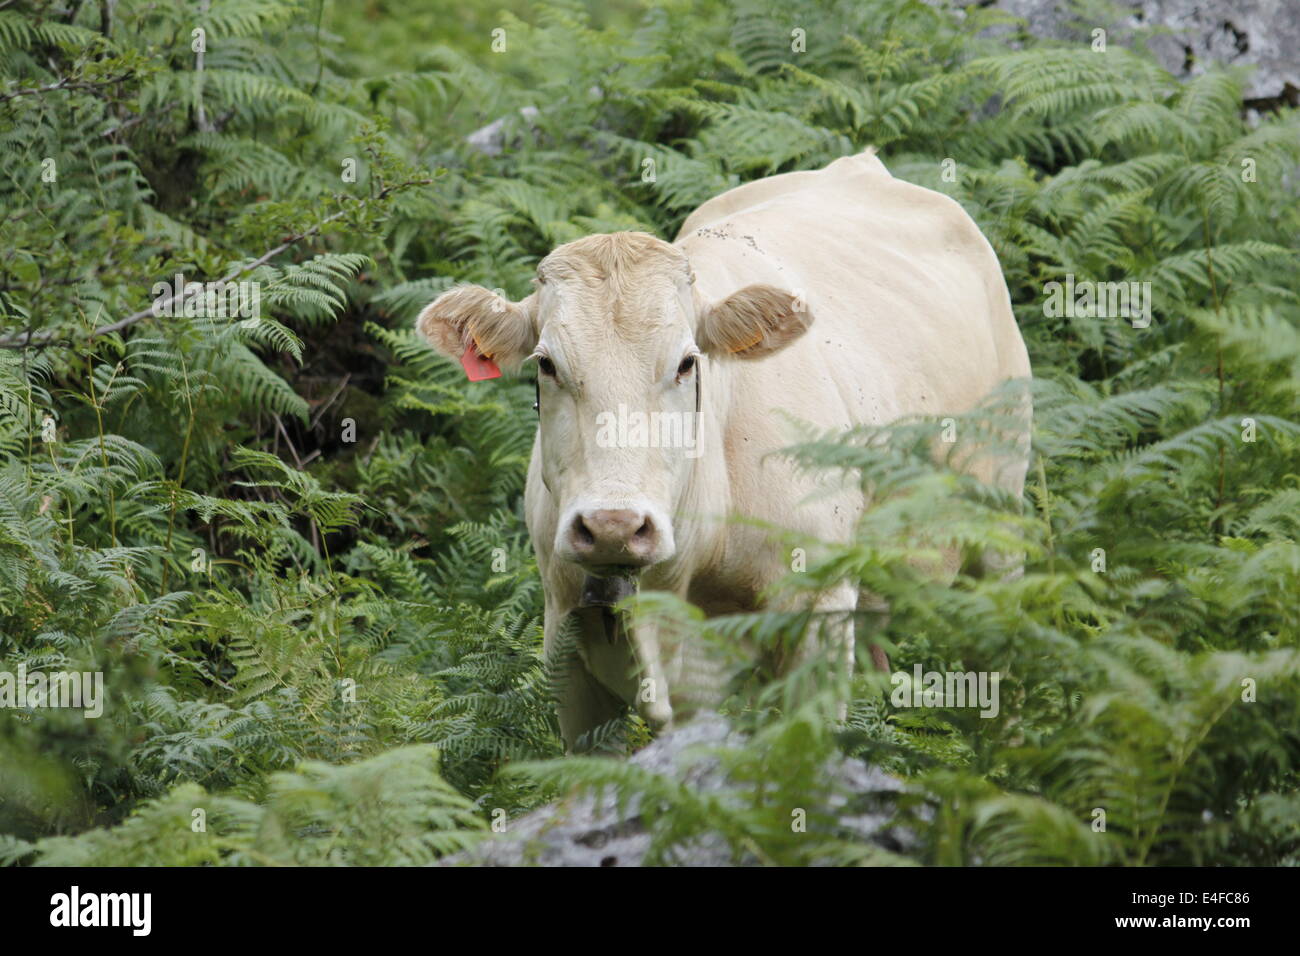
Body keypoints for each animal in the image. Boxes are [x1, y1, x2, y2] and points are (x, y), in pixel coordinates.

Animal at [416, 149, 1032, 751]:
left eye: (688, 362)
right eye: (546, 364)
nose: (614, 525)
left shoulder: (818, 619)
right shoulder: (567, 645)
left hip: (999, 531)